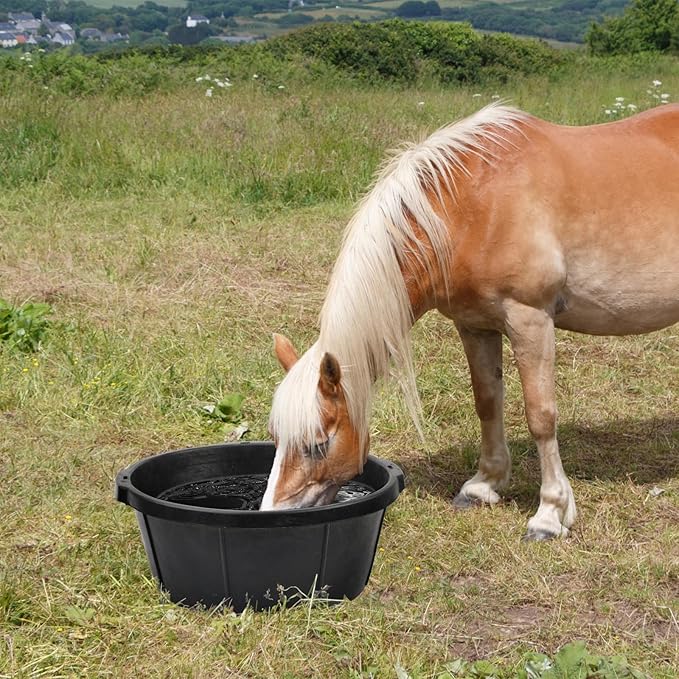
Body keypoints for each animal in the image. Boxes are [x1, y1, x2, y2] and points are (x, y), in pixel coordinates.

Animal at [260, 102, 679, 540]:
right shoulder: (475, 325)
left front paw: (549, 514)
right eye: (275, 437)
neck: (470, 209)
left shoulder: (530, 320)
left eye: (318, 444)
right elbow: (487, 402)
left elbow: (541, 416)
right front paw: (483, 486)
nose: (274, 514)